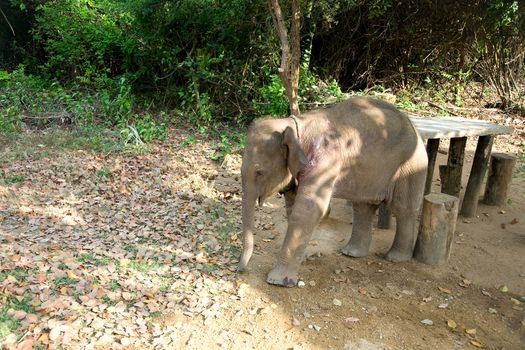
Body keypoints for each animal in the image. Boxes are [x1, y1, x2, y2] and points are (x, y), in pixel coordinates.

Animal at [237, 97, 426, 286]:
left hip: (411, 166)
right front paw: (304, 258)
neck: (294, 125)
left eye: (259, 172)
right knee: (363, 206)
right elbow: (293, 207)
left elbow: (308, 209)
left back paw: (395, 258)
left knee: (402, 208)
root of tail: (414, 127)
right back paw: (351, 253)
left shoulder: (326, 161)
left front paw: (277, 281)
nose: (241, 270)